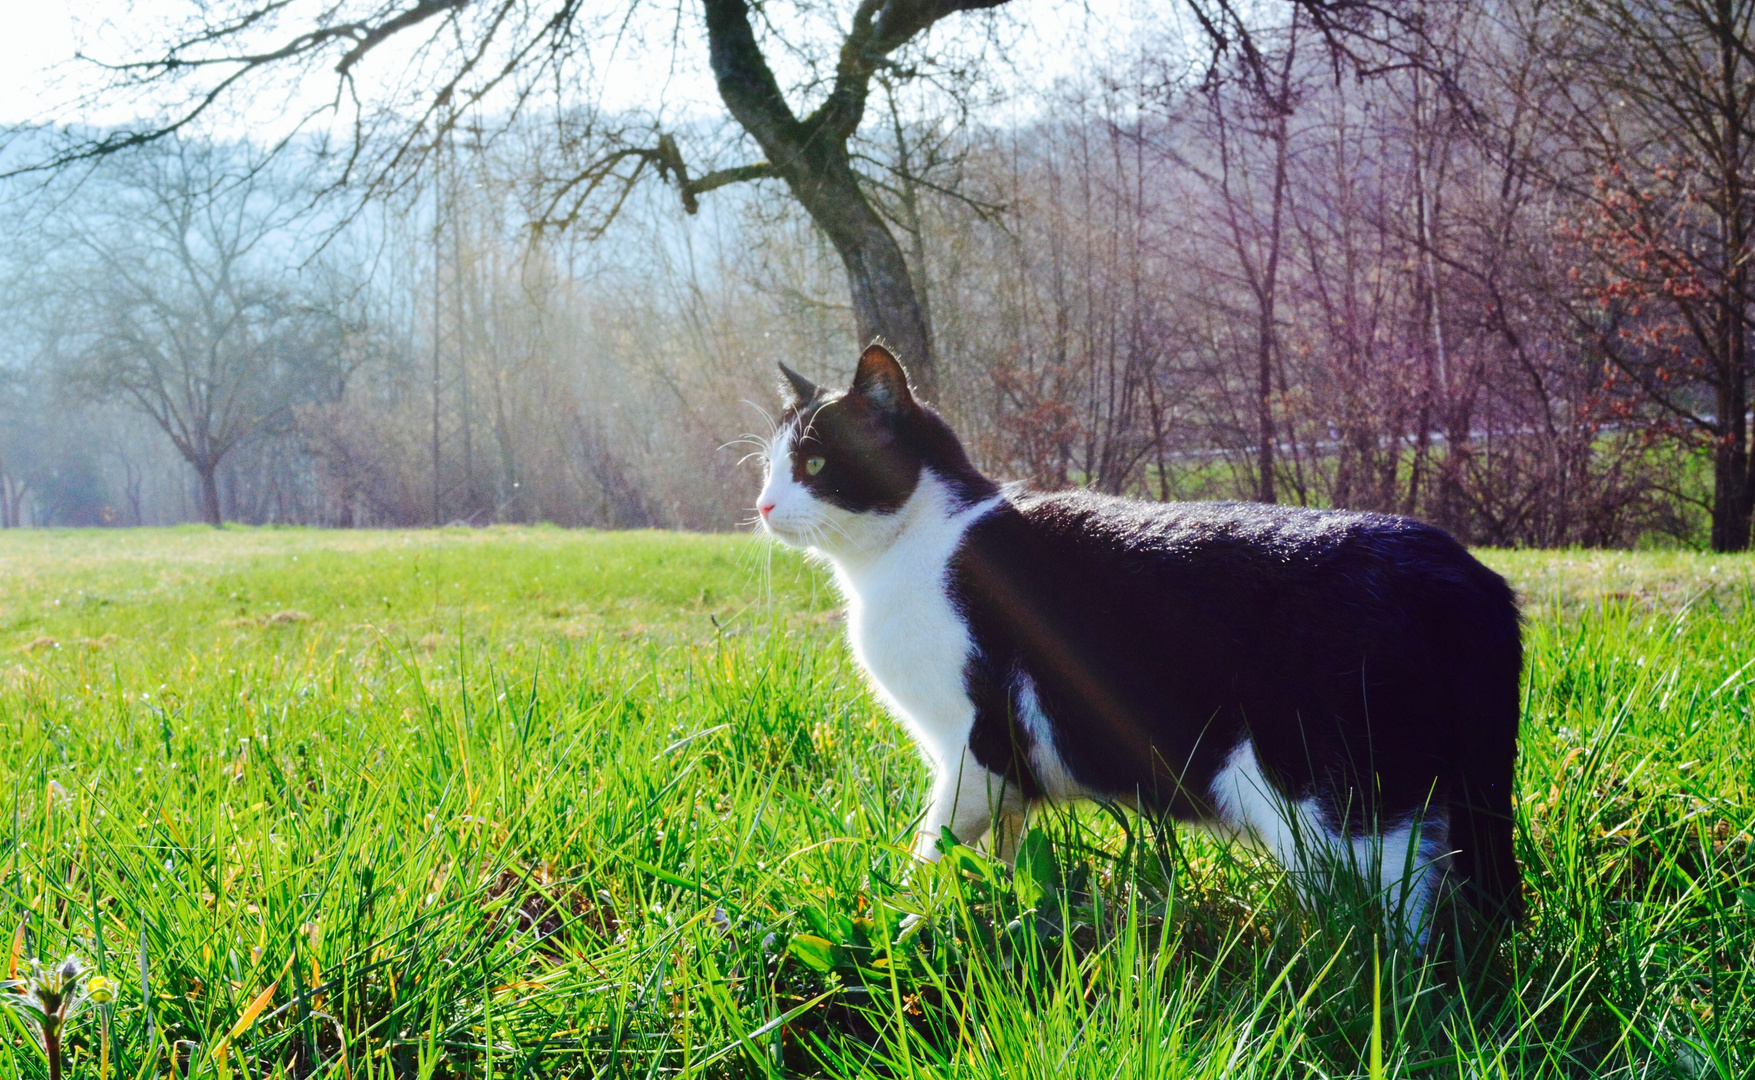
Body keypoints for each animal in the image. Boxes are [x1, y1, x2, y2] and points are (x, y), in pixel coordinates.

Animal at [758, 344, 1523, 941]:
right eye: (769, 466)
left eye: (816, 465)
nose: (763, 504)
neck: (904, 552)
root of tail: (1454, 569)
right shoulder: (1005, 772)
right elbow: (1001, 849)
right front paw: (990, 905)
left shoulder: (970, 743)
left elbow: (935, 841)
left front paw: (901, 915)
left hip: (1338, 797)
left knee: (1396, 918)